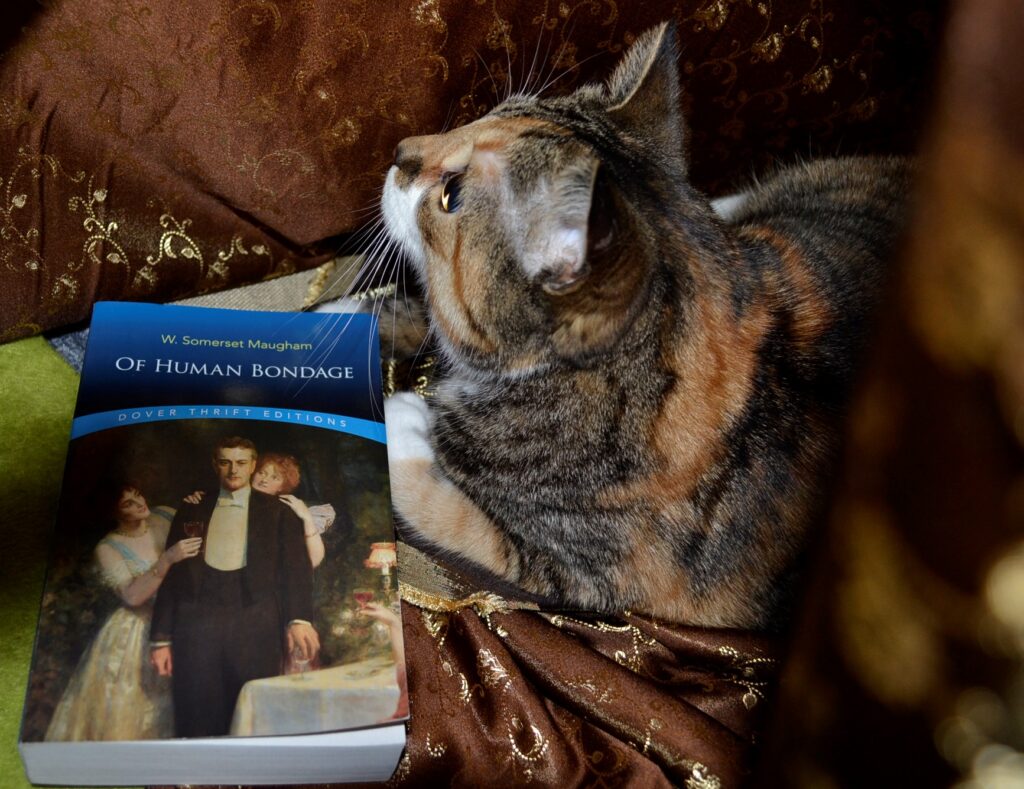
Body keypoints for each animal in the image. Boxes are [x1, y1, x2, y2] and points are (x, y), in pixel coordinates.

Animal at [364, 21, 909, 634]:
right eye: (483, 114)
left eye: (450, 194)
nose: (399, 151)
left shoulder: (594, 572)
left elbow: (452, 516)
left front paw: (401, 421)